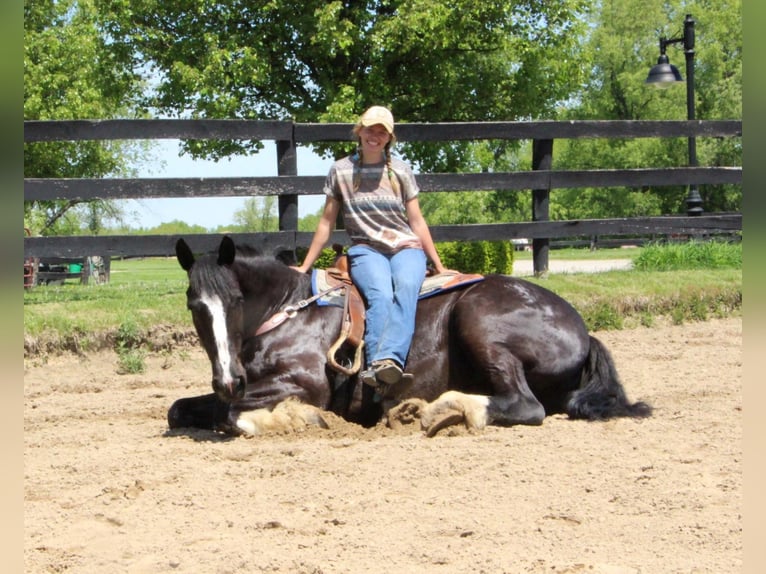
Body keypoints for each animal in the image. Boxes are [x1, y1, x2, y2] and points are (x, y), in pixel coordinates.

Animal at [170, 236, 656, 438]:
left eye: (235, 300)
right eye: (195, 305)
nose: (228, 379)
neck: (288, 310)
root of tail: (583, 331)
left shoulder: (303, 384)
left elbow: (232, 416)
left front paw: (299, 418)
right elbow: (181, 411)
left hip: (477, 319)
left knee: (525, 406)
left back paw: (442, 410)